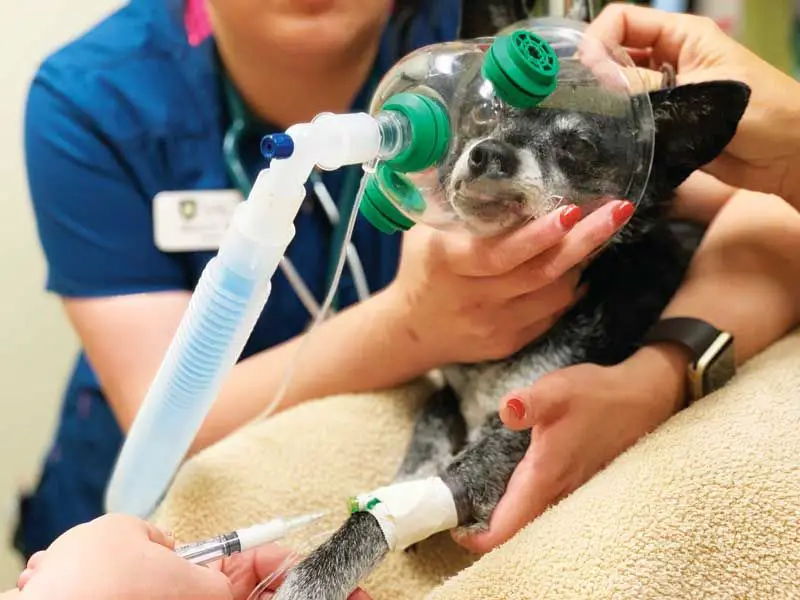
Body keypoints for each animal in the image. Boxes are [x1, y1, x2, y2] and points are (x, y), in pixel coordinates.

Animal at [270, 57, 752, 600]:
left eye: (579, 146)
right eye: (484, 114)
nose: (487, 153)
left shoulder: (510, 437)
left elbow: (394, 509)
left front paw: (315, 575)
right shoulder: (450, 386)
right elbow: (428, 422)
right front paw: (406, 477)